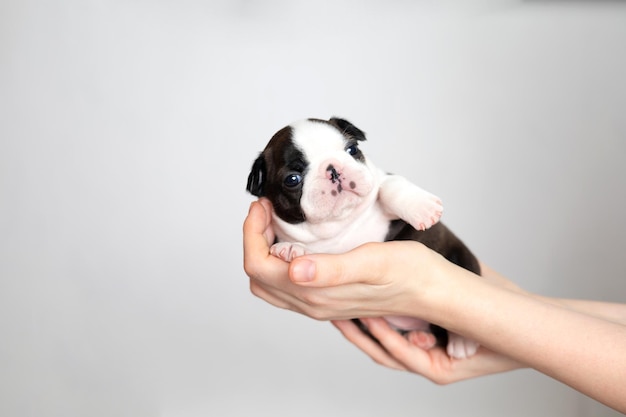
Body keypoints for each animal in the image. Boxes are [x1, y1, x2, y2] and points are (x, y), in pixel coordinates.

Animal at [246, 116, 480, 358]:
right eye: (293, 179)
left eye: (352, 149)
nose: (333, 169)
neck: (344, 223)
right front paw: (290, 248)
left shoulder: (380, 181)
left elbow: (389, 185)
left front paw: (421, 207)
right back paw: (421, 338)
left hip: (463, 258)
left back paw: (462, 340)